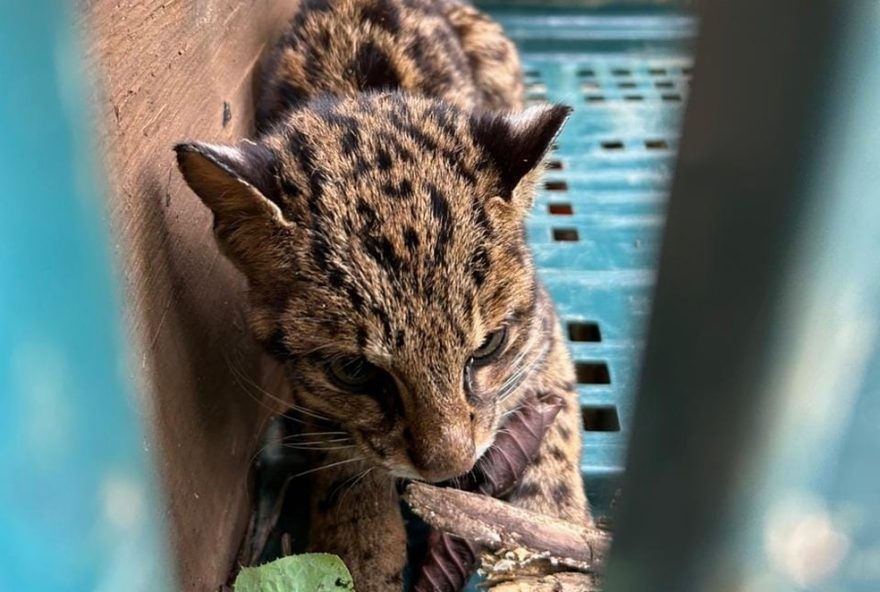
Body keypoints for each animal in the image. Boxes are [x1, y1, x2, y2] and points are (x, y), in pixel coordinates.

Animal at [174, 1, 588, 592]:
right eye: (353, 372)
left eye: (487, 347)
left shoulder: (542, 333)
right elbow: (344, 457)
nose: (449, 468)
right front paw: (361, 553)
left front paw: (553, 546)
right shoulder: (313, 389)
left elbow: (555, 426)